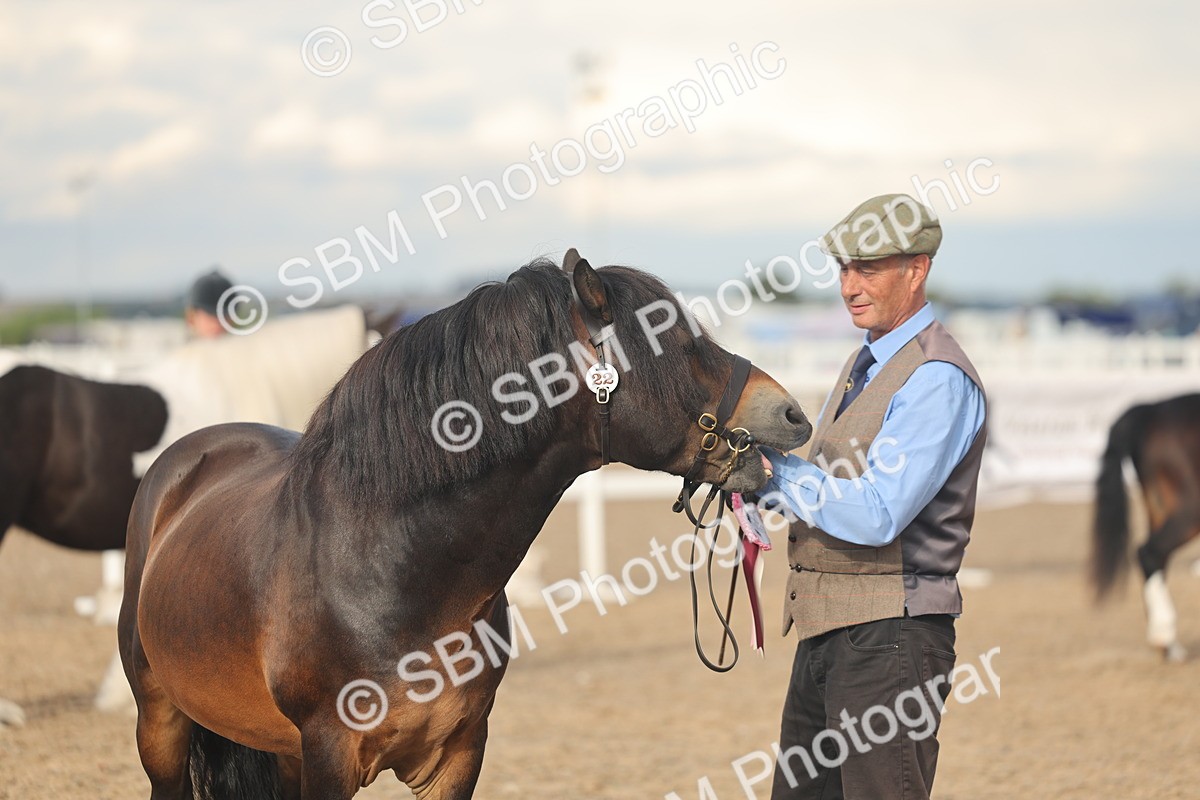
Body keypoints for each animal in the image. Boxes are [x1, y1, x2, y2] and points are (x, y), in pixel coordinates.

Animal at [119, 250, 812, 799]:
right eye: (677, 345)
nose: (793, 414)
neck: (393, 568)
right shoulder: (326, 757)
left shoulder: (457, 755)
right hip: (161, 724)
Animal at [1091, 393, 1200, 662]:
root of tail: (1151, 409)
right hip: (1190, 509)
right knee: (1149, 552)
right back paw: (1164, 634)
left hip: (1158, 507)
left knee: (1157, 558)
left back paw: (1168, 645)